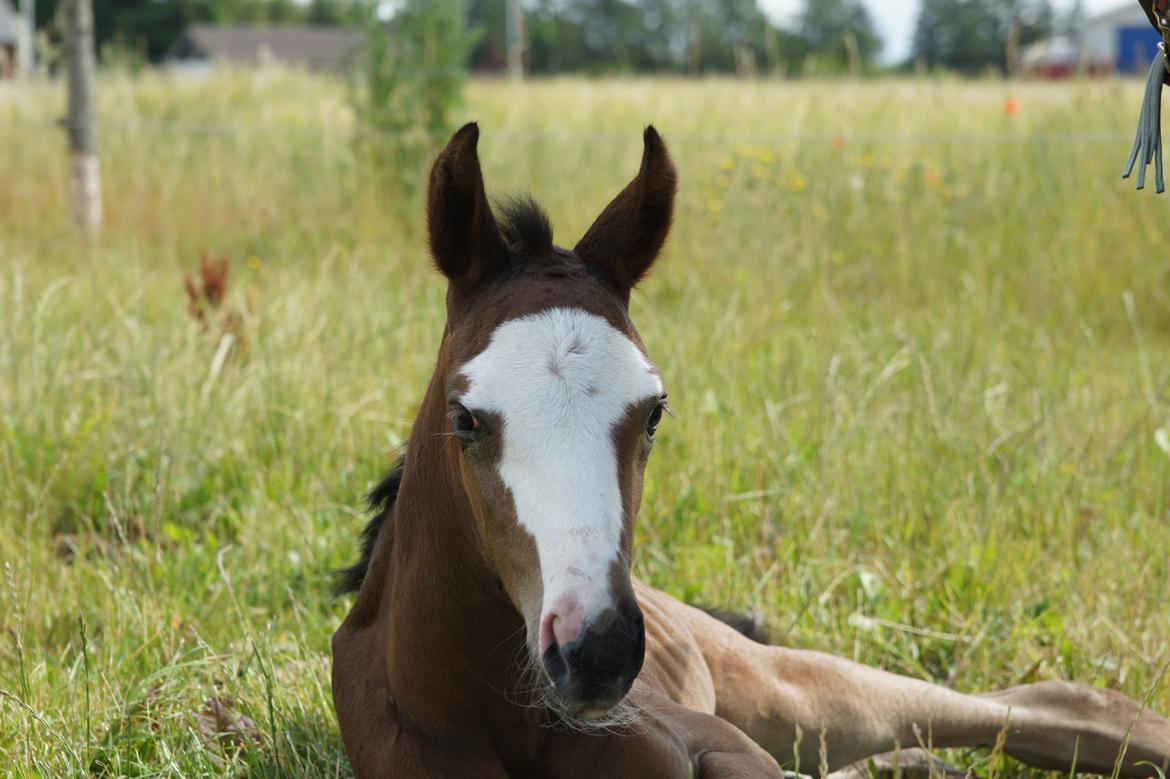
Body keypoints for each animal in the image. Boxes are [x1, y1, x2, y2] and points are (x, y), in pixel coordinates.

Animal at [327, 124, 1170, 771]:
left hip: (792, 694)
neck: (498, 719)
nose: (598, 648)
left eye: (654, 411)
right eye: (466, 417)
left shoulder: (727, 748)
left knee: (1050, 703)